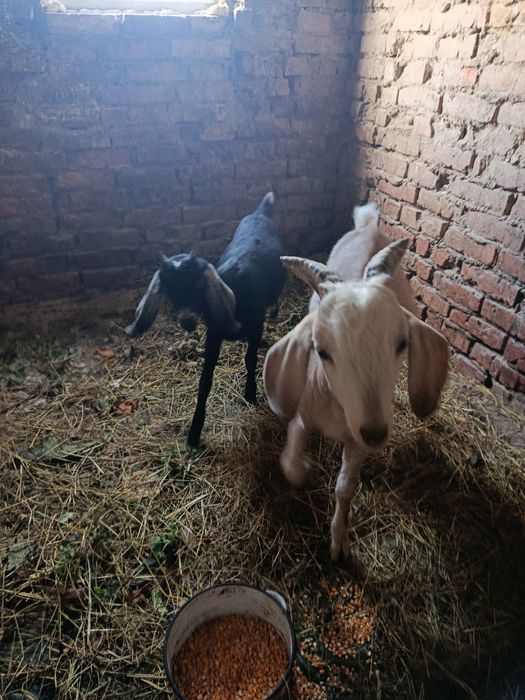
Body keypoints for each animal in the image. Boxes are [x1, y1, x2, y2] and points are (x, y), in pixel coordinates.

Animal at [126, 192, 286, 448]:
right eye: (169, 291)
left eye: (198, 286)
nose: (186, 320)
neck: (236, 293)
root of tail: (260, 212)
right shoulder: (213, 334)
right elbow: (205, 380)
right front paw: (194, 434)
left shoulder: (256, 327)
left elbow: (250, 359)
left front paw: (250, 394)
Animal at [263, 202, 449, 561]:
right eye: (321, 350)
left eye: (402, 344)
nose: (376, 432)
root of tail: (367, 225)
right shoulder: (303, 414)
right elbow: (290, 464)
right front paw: (305, 468)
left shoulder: (358, 438)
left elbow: (345, 487)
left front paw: (339, 542)